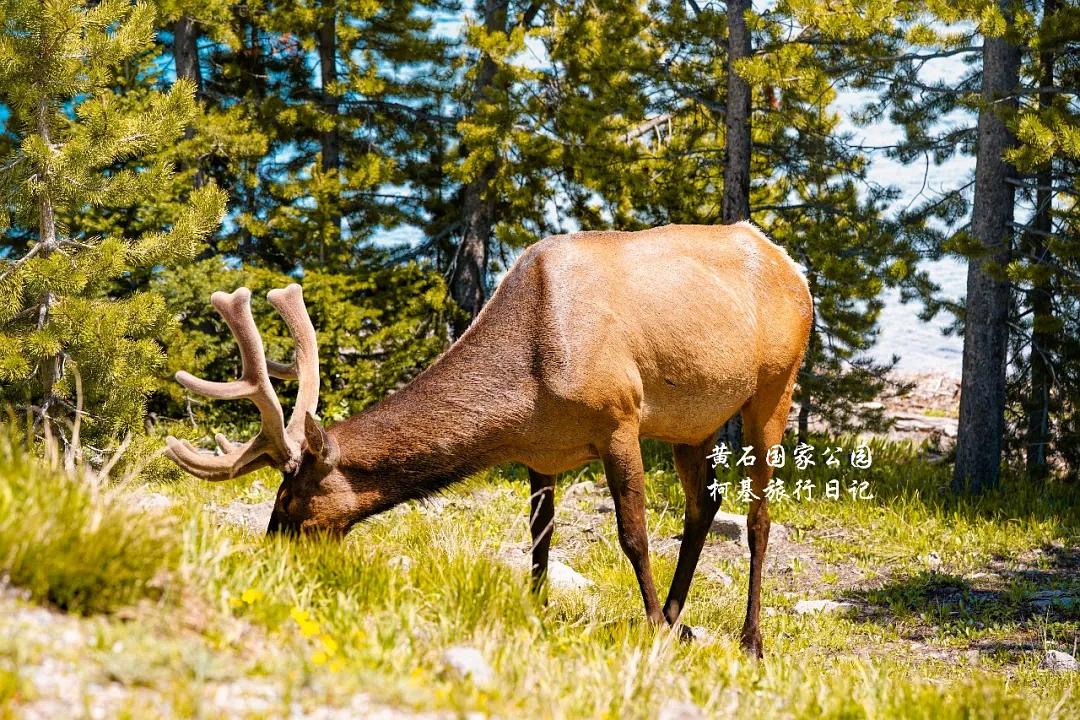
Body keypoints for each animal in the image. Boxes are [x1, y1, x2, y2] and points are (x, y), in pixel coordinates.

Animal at [166, 222, 812, 656]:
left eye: (289, 500)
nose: (268, 556)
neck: (524, 393)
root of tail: (792, 267)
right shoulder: (541, 452)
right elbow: (539, 540)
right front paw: (539, 612)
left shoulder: (619, 419)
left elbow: (632, 535)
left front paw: (650, 627)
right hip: (691, 423)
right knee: (705, 503)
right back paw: (682, 619)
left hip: (774, 386)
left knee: (758, 517)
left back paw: (748, 639)